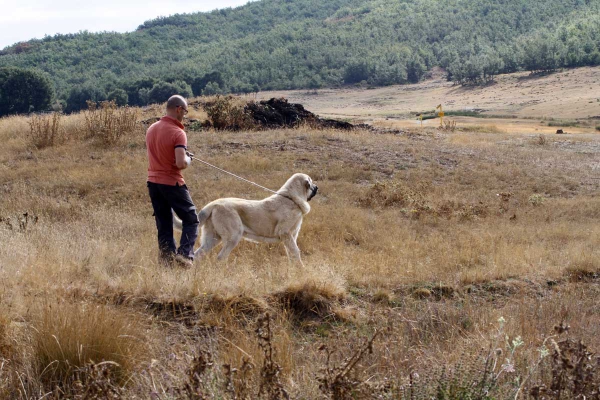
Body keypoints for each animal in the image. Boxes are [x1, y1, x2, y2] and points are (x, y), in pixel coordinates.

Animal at [175, 173, 318, 264]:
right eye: (311, 182)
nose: (317, 187)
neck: (292, 198)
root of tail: (214, 204)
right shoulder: (286, 234)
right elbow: (296, 252)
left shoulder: (291, 237)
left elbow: (292, 254)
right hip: (233, 236)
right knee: (220, 257)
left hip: (212, 239)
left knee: (198, 254)